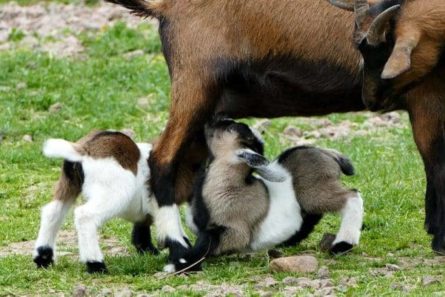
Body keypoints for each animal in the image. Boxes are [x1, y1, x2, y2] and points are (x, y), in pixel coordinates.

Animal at [106, 0, 444, 264]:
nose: (371, 100)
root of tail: (165, 8)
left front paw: (433, 230)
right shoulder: (425, 96)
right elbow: (436, 164)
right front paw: (439, 240)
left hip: (208, 110)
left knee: (179, 168)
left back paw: (150, 245)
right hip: (195, 86)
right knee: (162, 158)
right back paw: (178, 249)